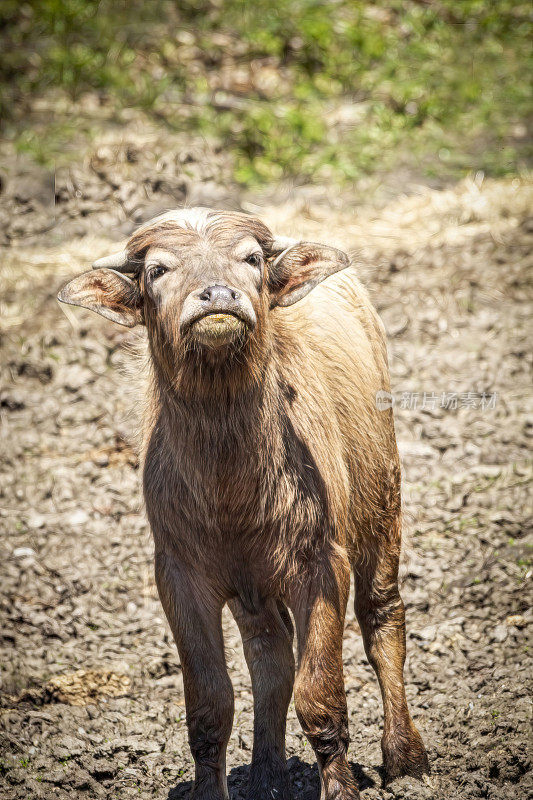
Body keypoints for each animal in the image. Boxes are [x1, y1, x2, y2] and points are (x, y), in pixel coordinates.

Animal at [59, 209, 428, 796]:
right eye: (158, 269)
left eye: (252, 258)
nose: (216, 295)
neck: (231, 484)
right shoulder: (180, 577)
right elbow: (210, 706)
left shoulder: (322, 564)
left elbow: (321, 696)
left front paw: (340, 786)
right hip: (252, 584)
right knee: (269, 653)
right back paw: (267, 772)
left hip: (381, 503)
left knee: (382, 617)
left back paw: (405, 756)